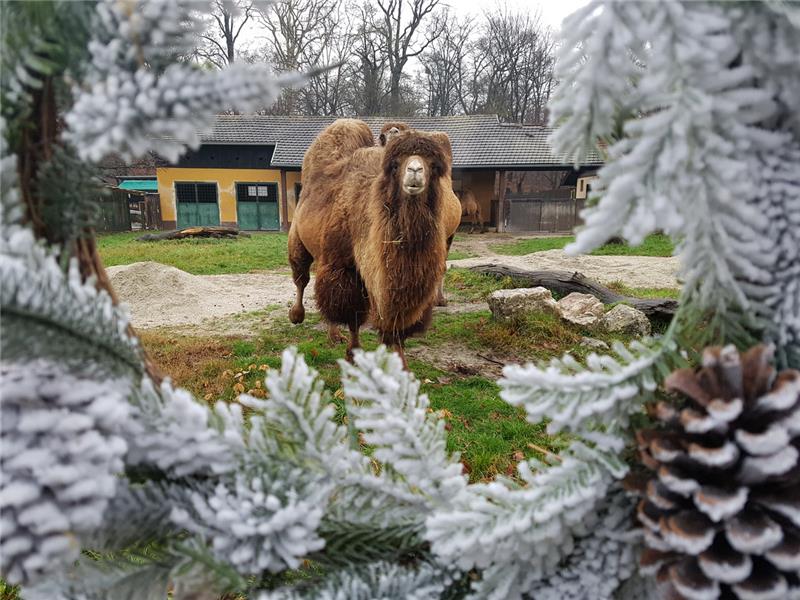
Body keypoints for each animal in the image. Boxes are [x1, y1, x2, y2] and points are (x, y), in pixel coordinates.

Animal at [290, 119, 460, 366]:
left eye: (435, 166)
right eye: (395, 165)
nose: (415, 171)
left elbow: (396, 326)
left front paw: (401, 364)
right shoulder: (346, 267)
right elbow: (351, 314)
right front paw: (352, 354)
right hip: (298, 238)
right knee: (301, 277)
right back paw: (300, 317)